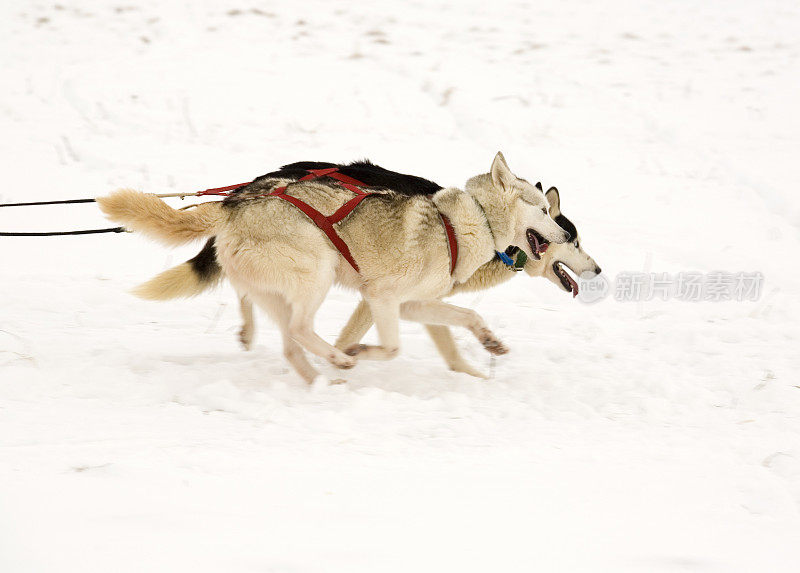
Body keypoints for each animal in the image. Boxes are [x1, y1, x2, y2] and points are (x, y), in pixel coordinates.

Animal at [98, 154, 568, 382]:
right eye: (545, 210)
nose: (565, 234)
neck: (465, 223)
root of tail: (236, 202)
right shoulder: (382, 298)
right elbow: (392, 348)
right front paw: (357, 351)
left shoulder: (411, 304)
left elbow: (467, 315)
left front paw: (490, 343)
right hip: (317, 273)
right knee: (300, 330)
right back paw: (339, 362)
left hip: (279, 288)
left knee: (289, 341)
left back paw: (322, 383)